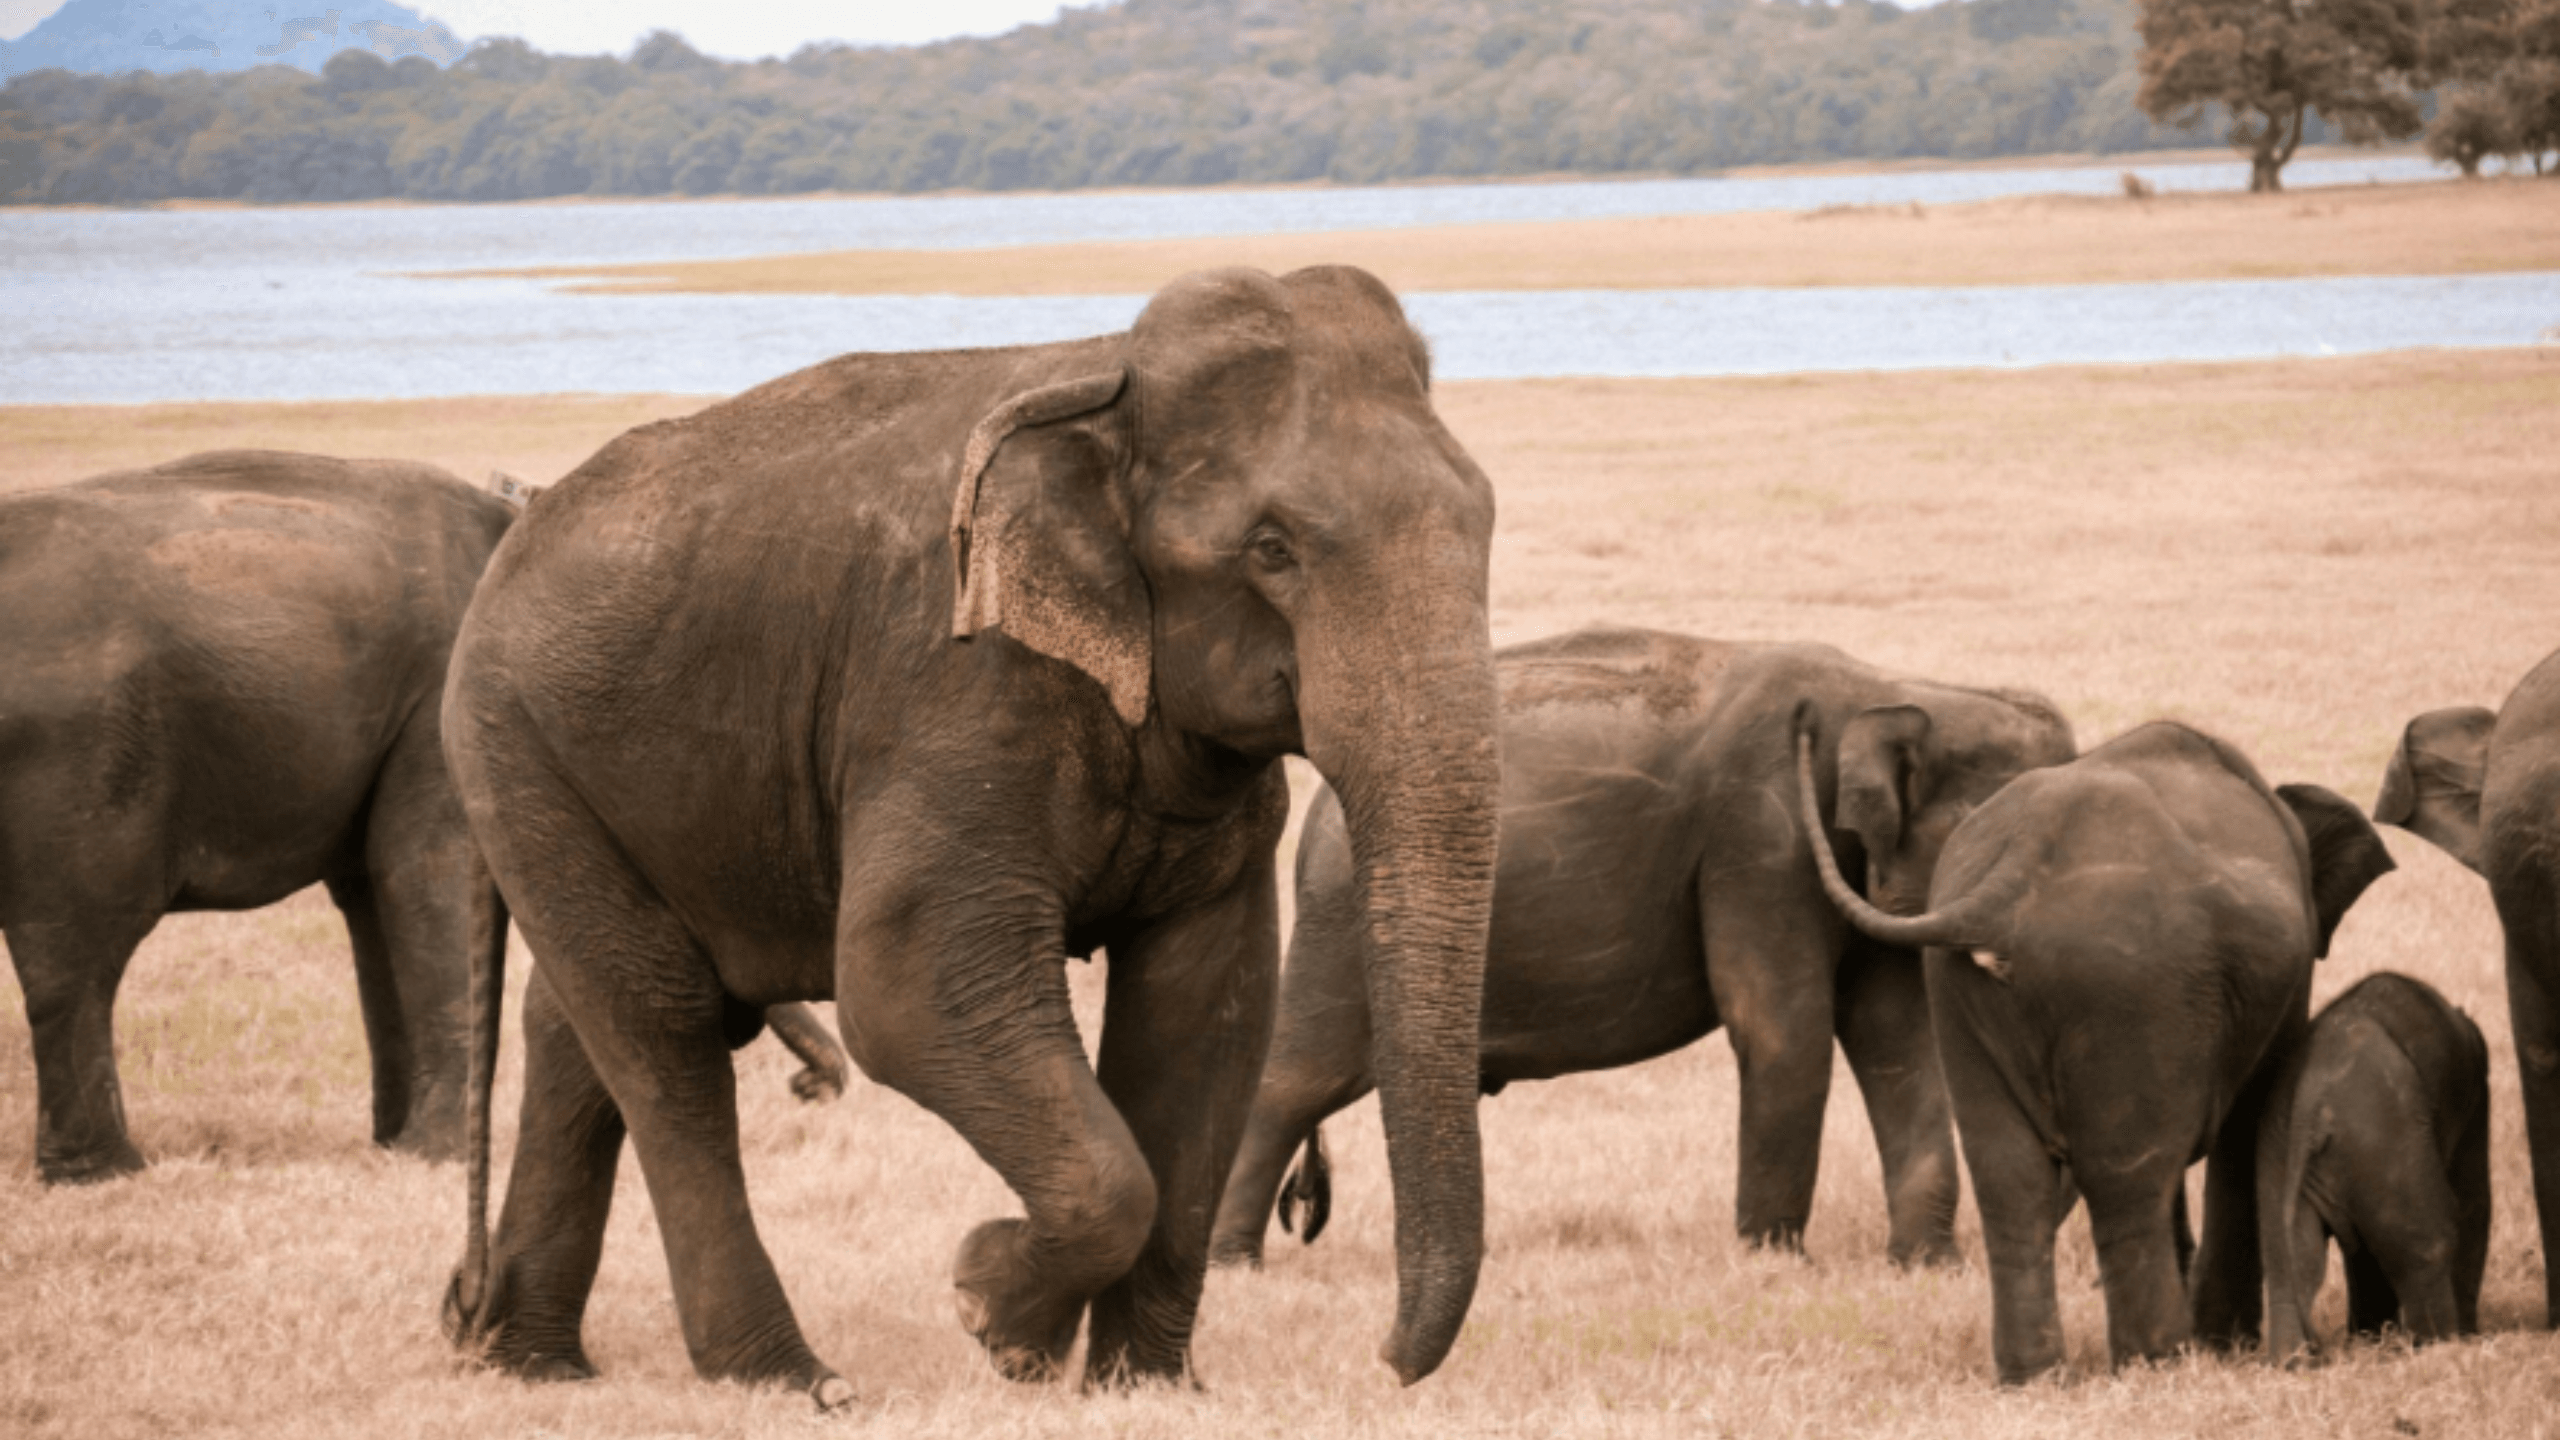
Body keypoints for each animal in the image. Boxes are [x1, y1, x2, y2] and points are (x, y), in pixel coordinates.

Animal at [0, 451, 848, 1187]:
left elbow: (377, 899)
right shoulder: (446, 703)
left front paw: (396, 1149)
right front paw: (440, 1157)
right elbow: (427, 877)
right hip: (76, 766)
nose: (813, 1089)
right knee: (78, 958)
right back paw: (105, 1173)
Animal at [437, 266, 1503, 1408]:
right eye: (1272, 549)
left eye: (1484, 522)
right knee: (661, 1027)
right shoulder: (954, 689)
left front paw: (1143, 1388)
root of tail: (516, 527)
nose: (1385, 1361)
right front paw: (993, 1310)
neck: (1109, 381)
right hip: (512, 744)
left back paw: (534, 1366)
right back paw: (792, 1382)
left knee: (574, 1022)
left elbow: (1207, 1009)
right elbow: (906, 991)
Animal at [1210, 628, 2075, 1271]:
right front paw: (1772, 1265)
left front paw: (1928, 1267)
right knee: (1295, 1078)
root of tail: (1318, 815)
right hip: (1342, 923)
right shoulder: (1761, 836)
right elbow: (1782, 1027)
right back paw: (1230, 1264)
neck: (1905, 687)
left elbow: (1897, 1041)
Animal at [1802, 718, 2396, 1382]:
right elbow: (2250, 1123)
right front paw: (2225, 1346)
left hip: (1957, 987)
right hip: (2129, 983)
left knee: (2009, 1176)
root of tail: (2015, 869)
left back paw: (2035, 1377)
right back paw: (2157, 1362)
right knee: (2127, 1175)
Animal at [2257, 971, 2490, 1362]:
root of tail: (2312, 1102)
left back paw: (2294, 1362)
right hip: (2381, 1132)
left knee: (2284, 1261)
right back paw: (2438, 1347)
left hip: (2278, 1146)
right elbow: (2471, 1203)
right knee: (2432, 1241)